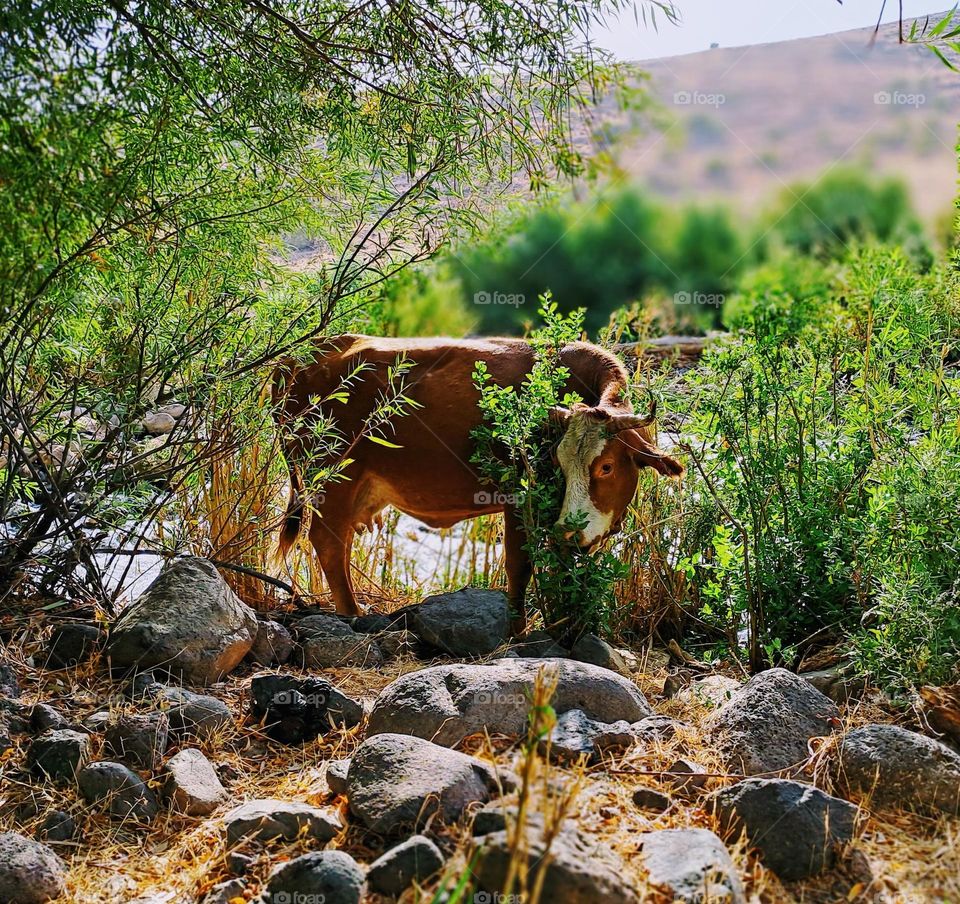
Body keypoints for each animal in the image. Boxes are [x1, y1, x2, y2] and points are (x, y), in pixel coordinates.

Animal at [272, 334, 683, 633]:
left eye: (607, 467)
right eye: (560, 464)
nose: (569, 531)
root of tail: (303, 354)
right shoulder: (520, 498)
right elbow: (519, 566)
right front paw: (517, 629)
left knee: (337, 543)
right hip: (333, 478)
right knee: (327, 542)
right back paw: (352, 614)